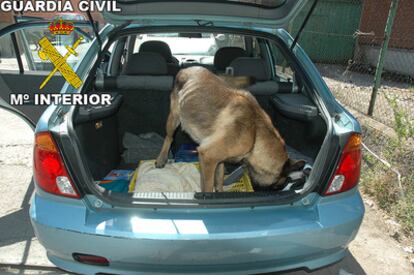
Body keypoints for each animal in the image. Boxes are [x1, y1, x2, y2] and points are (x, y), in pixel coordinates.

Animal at [155, 66, 304, 192]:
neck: (256, 135)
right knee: (169, 137)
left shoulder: (217, 159)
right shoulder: (208, 156)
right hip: (174, 117)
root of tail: (188, 68)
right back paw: (161, 159)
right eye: (278, 184)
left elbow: (219, 178)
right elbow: (207, 188)